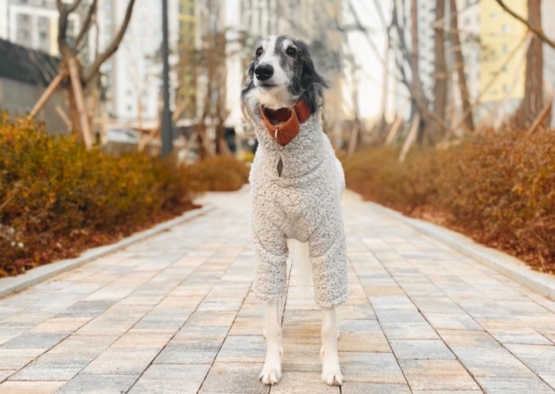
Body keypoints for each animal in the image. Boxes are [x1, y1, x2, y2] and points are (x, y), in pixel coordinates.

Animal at [242, 35, 348, 386]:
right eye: (258, 52)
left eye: (291, 51)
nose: (261, 71)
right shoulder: (269, 246)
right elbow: (273, 318)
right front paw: (272, 367)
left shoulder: (328, 244)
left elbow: (328, 318)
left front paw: (331, 368)